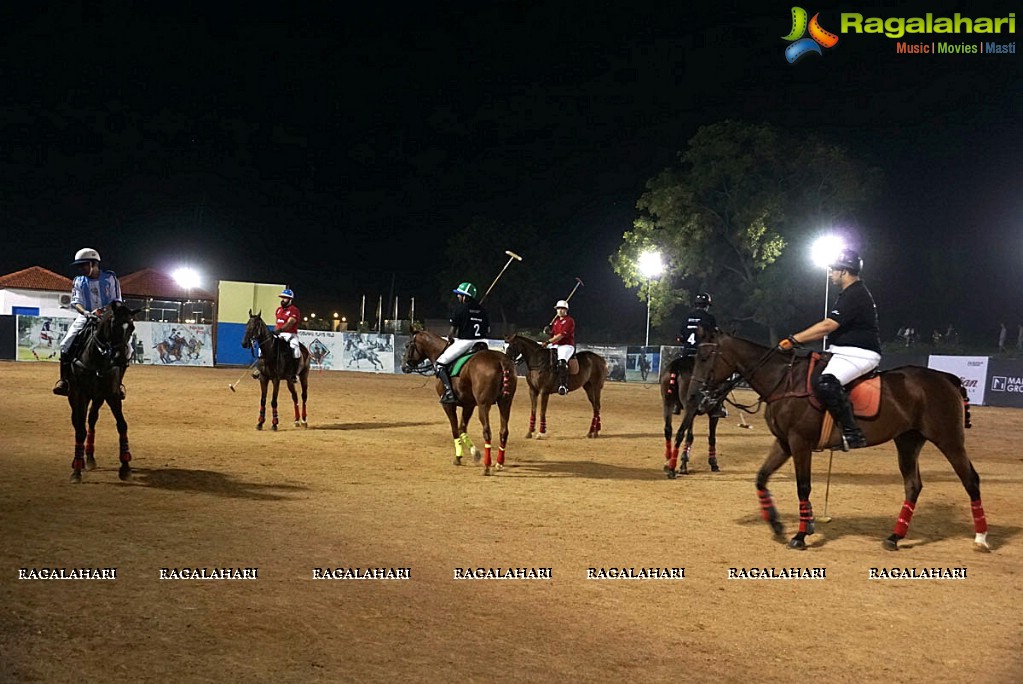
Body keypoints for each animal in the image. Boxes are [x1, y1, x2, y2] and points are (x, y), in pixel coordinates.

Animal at [64, 300, 139, 482]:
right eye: (113, 325)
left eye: (132, 327)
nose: (120, 358)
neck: (97, 359)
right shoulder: (80, 395)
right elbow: (80, 431)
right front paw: (76, 470)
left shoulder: (112, 395)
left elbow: (122, 425)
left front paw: (125, 467)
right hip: (73, 396)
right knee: (78, 423)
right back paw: (80, 460)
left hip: (98, 398)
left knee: (91, 420)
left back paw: (90, 457)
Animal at [401, 331, 515, 474]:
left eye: (407, 345)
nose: (404, 367)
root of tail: (501, 361)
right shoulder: (468, 405)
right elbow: (462, 428)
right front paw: (475, 453)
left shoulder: (448, 404)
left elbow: (455, 429)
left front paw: (458, 457)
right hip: (505, 403)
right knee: (504, 432)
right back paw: (499, 463)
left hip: (484, 405)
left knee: (487, 432)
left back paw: (487, 466)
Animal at [683, 327, 986, 552]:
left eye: (705, 357)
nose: (694, 397)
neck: (783, 381)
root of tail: (947, 378)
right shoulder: (784, 443)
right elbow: (761, 477)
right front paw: (778, 524)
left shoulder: (800, 443)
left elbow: (803, 487)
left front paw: (801, 535)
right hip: (908, 441)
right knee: (913, 485)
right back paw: (894, 537)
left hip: (948, 439)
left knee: (970, 480)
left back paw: (981, 538)